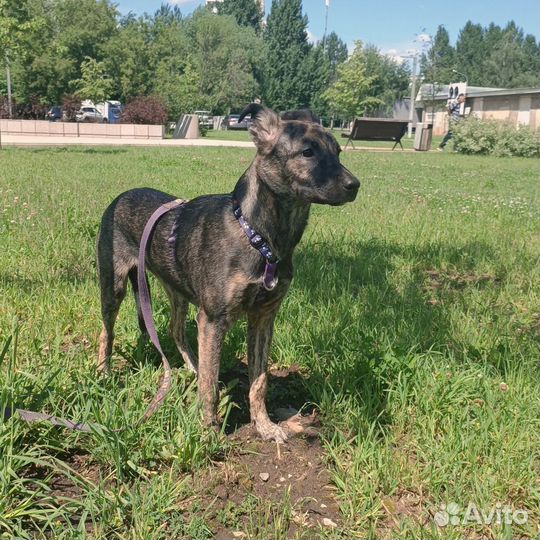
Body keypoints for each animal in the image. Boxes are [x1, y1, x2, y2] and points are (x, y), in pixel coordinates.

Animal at [97, 103, 358, 440]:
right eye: (308, 152)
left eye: (338, 151)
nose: (355, 185)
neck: (261, 238)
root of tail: (120, 197)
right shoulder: (214, 319)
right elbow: (211, 387)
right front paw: (209, 432)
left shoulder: (264, 317)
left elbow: (259, 381)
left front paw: (264, 425)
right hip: (113, 286)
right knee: (107, 332)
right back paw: (104, 374)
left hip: (177, 289)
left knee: (176, 330)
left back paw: (193, 369)